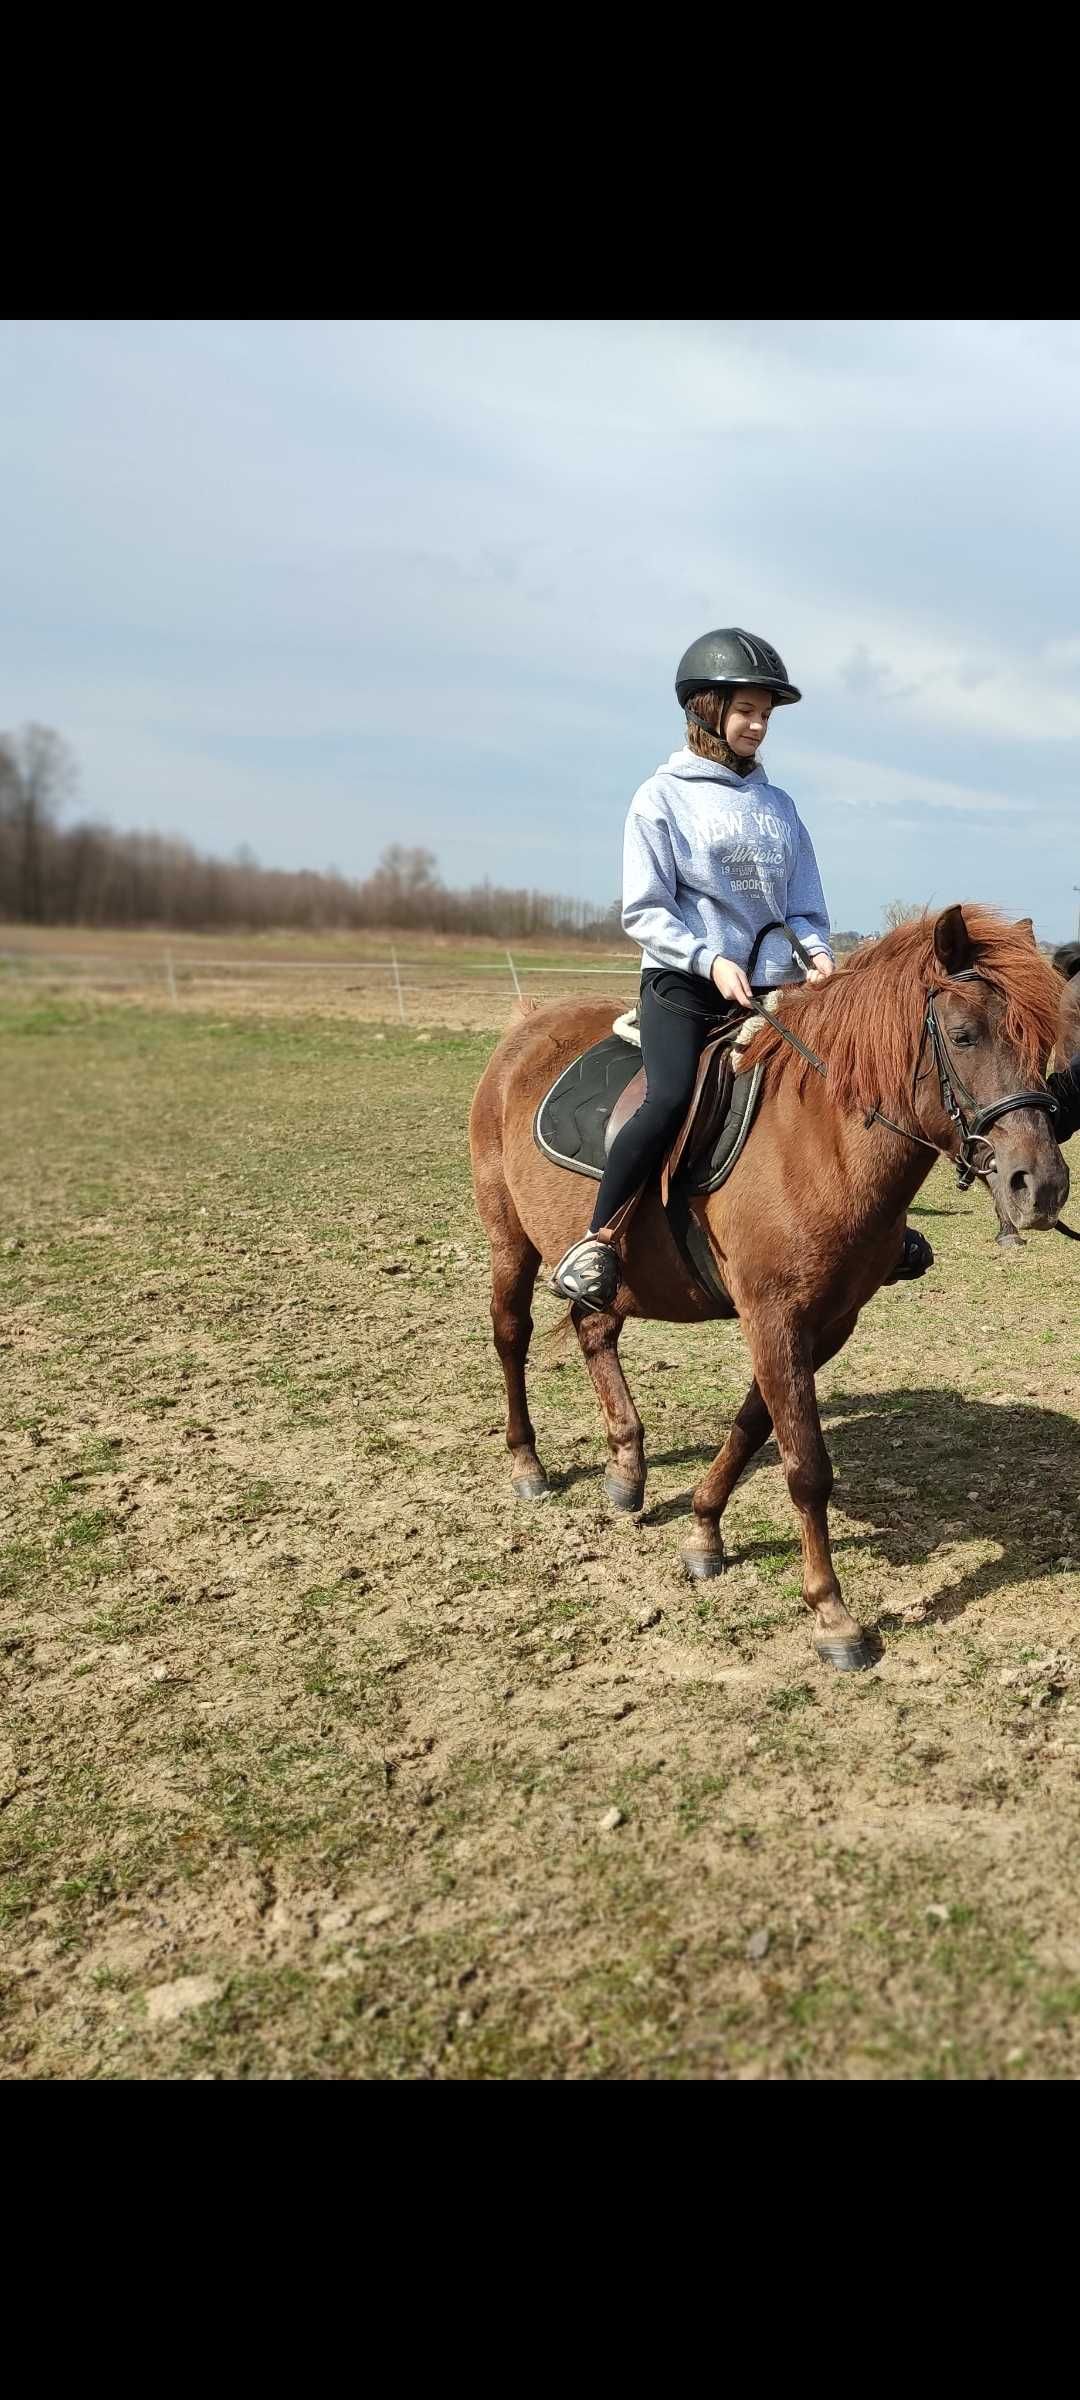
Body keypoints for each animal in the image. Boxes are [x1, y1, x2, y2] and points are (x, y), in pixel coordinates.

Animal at [468, 907, 1065, 1680]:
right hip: (508, 1236)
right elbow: (806, 1466)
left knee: (592, 1327)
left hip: (618, 1273)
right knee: (511, 1337)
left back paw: (627, 1468)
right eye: (964, 1035)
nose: (1041, 1187)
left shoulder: (825, 1320)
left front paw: (702, 1530)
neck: (819, 1142)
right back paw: (528, 1464)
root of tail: (527, 1025)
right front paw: (832, 1615)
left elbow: (755, 1426)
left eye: (1046, 1042)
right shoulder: (774, 1314)